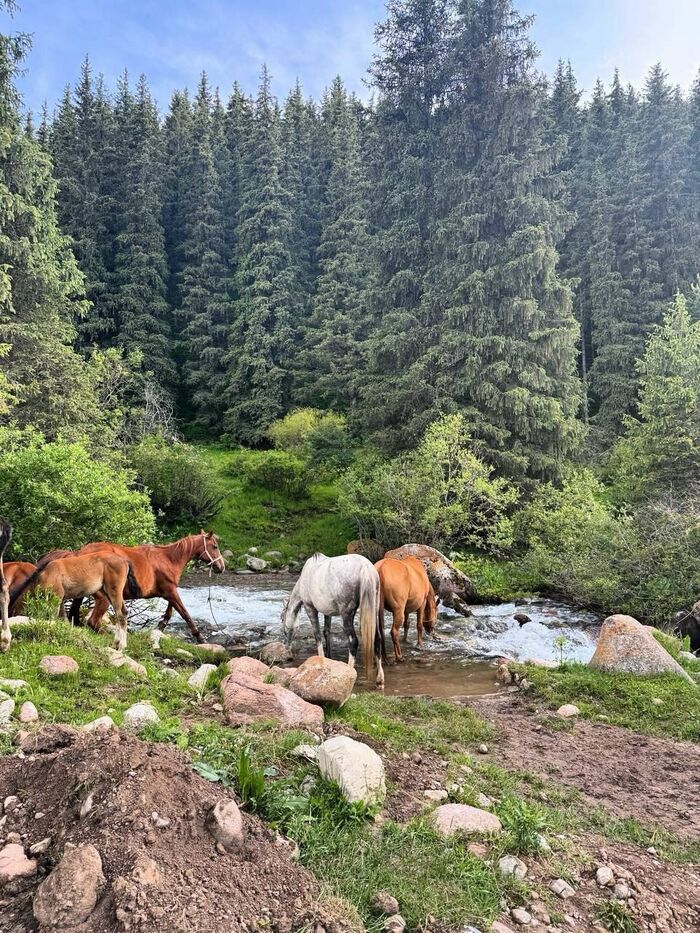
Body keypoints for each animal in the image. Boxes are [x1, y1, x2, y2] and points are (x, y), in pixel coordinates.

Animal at [66, 532, 224, 640]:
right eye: (215, 546)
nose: (221, 567)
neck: (169, 559)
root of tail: (81, 552)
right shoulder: (170, 591)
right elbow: (184, 613)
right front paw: (200, 637)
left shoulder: (169, 592)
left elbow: (170, 610)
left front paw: (161, 625)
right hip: (104, 598)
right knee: (92, 622)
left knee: (74, 615)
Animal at [280, 552, 388, 684]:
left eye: (282, 619)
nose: (286, 647)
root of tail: (365, 567)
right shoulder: (328, 613)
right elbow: (326, 632)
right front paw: (328, 659)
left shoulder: (310, 608)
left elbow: (317, 636)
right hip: (374, 611)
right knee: (377, 639)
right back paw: (380, 679)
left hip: (346, 615)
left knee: (353, 641)